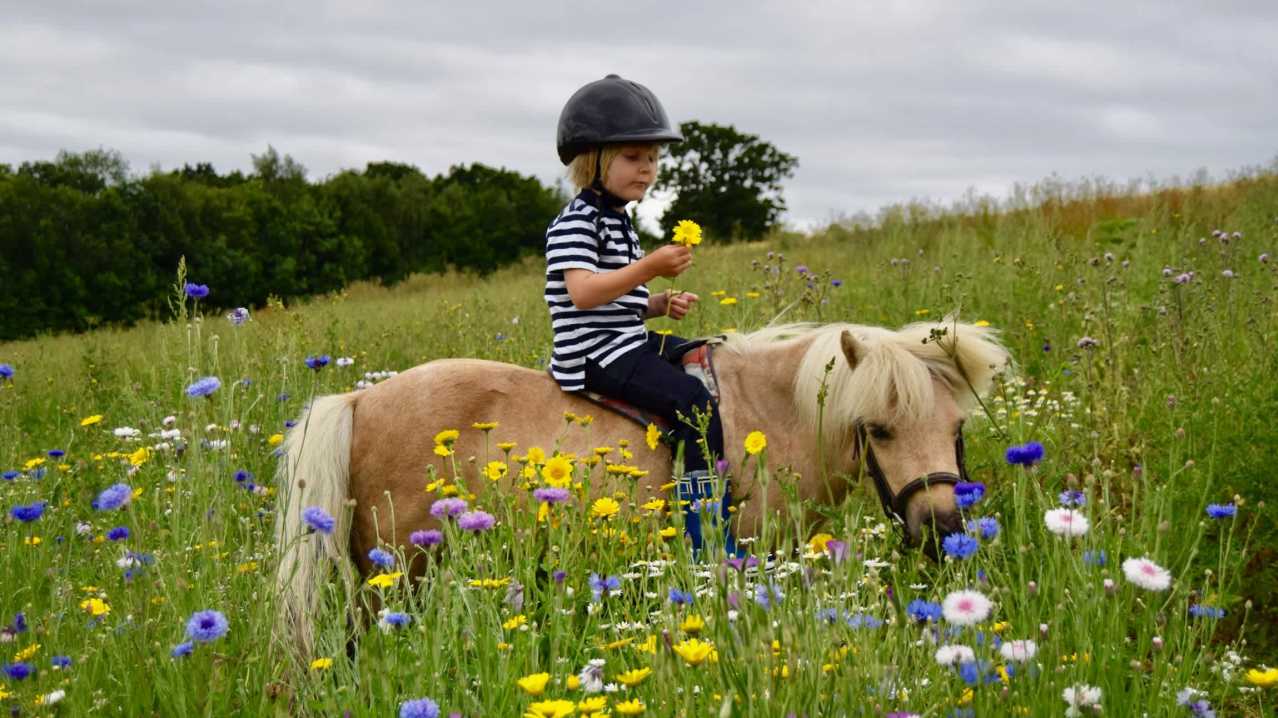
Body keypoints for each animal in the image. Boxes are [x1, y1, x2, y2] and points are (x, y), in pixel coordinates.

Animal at [273, 319, 1010, 654]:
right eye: (879, 429)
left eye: (956, 427)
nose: (945, 530)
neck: (773, 414)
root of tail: (358, 400)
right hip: (397, 577)